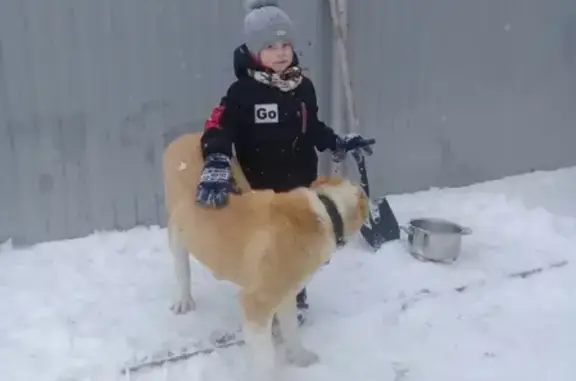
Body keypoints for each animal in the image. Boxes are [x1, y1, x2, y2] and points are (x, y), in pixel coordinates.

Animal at [162, 132, 368, 378]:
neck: (328, 211)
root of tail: (183, 137)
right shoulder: (256, 303)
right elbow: (265, 356)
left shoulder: (287, 295)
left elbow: (291, 330)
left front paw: (301, 358)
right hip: (177, 230)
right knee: (181, 267)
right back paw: (184, 300)